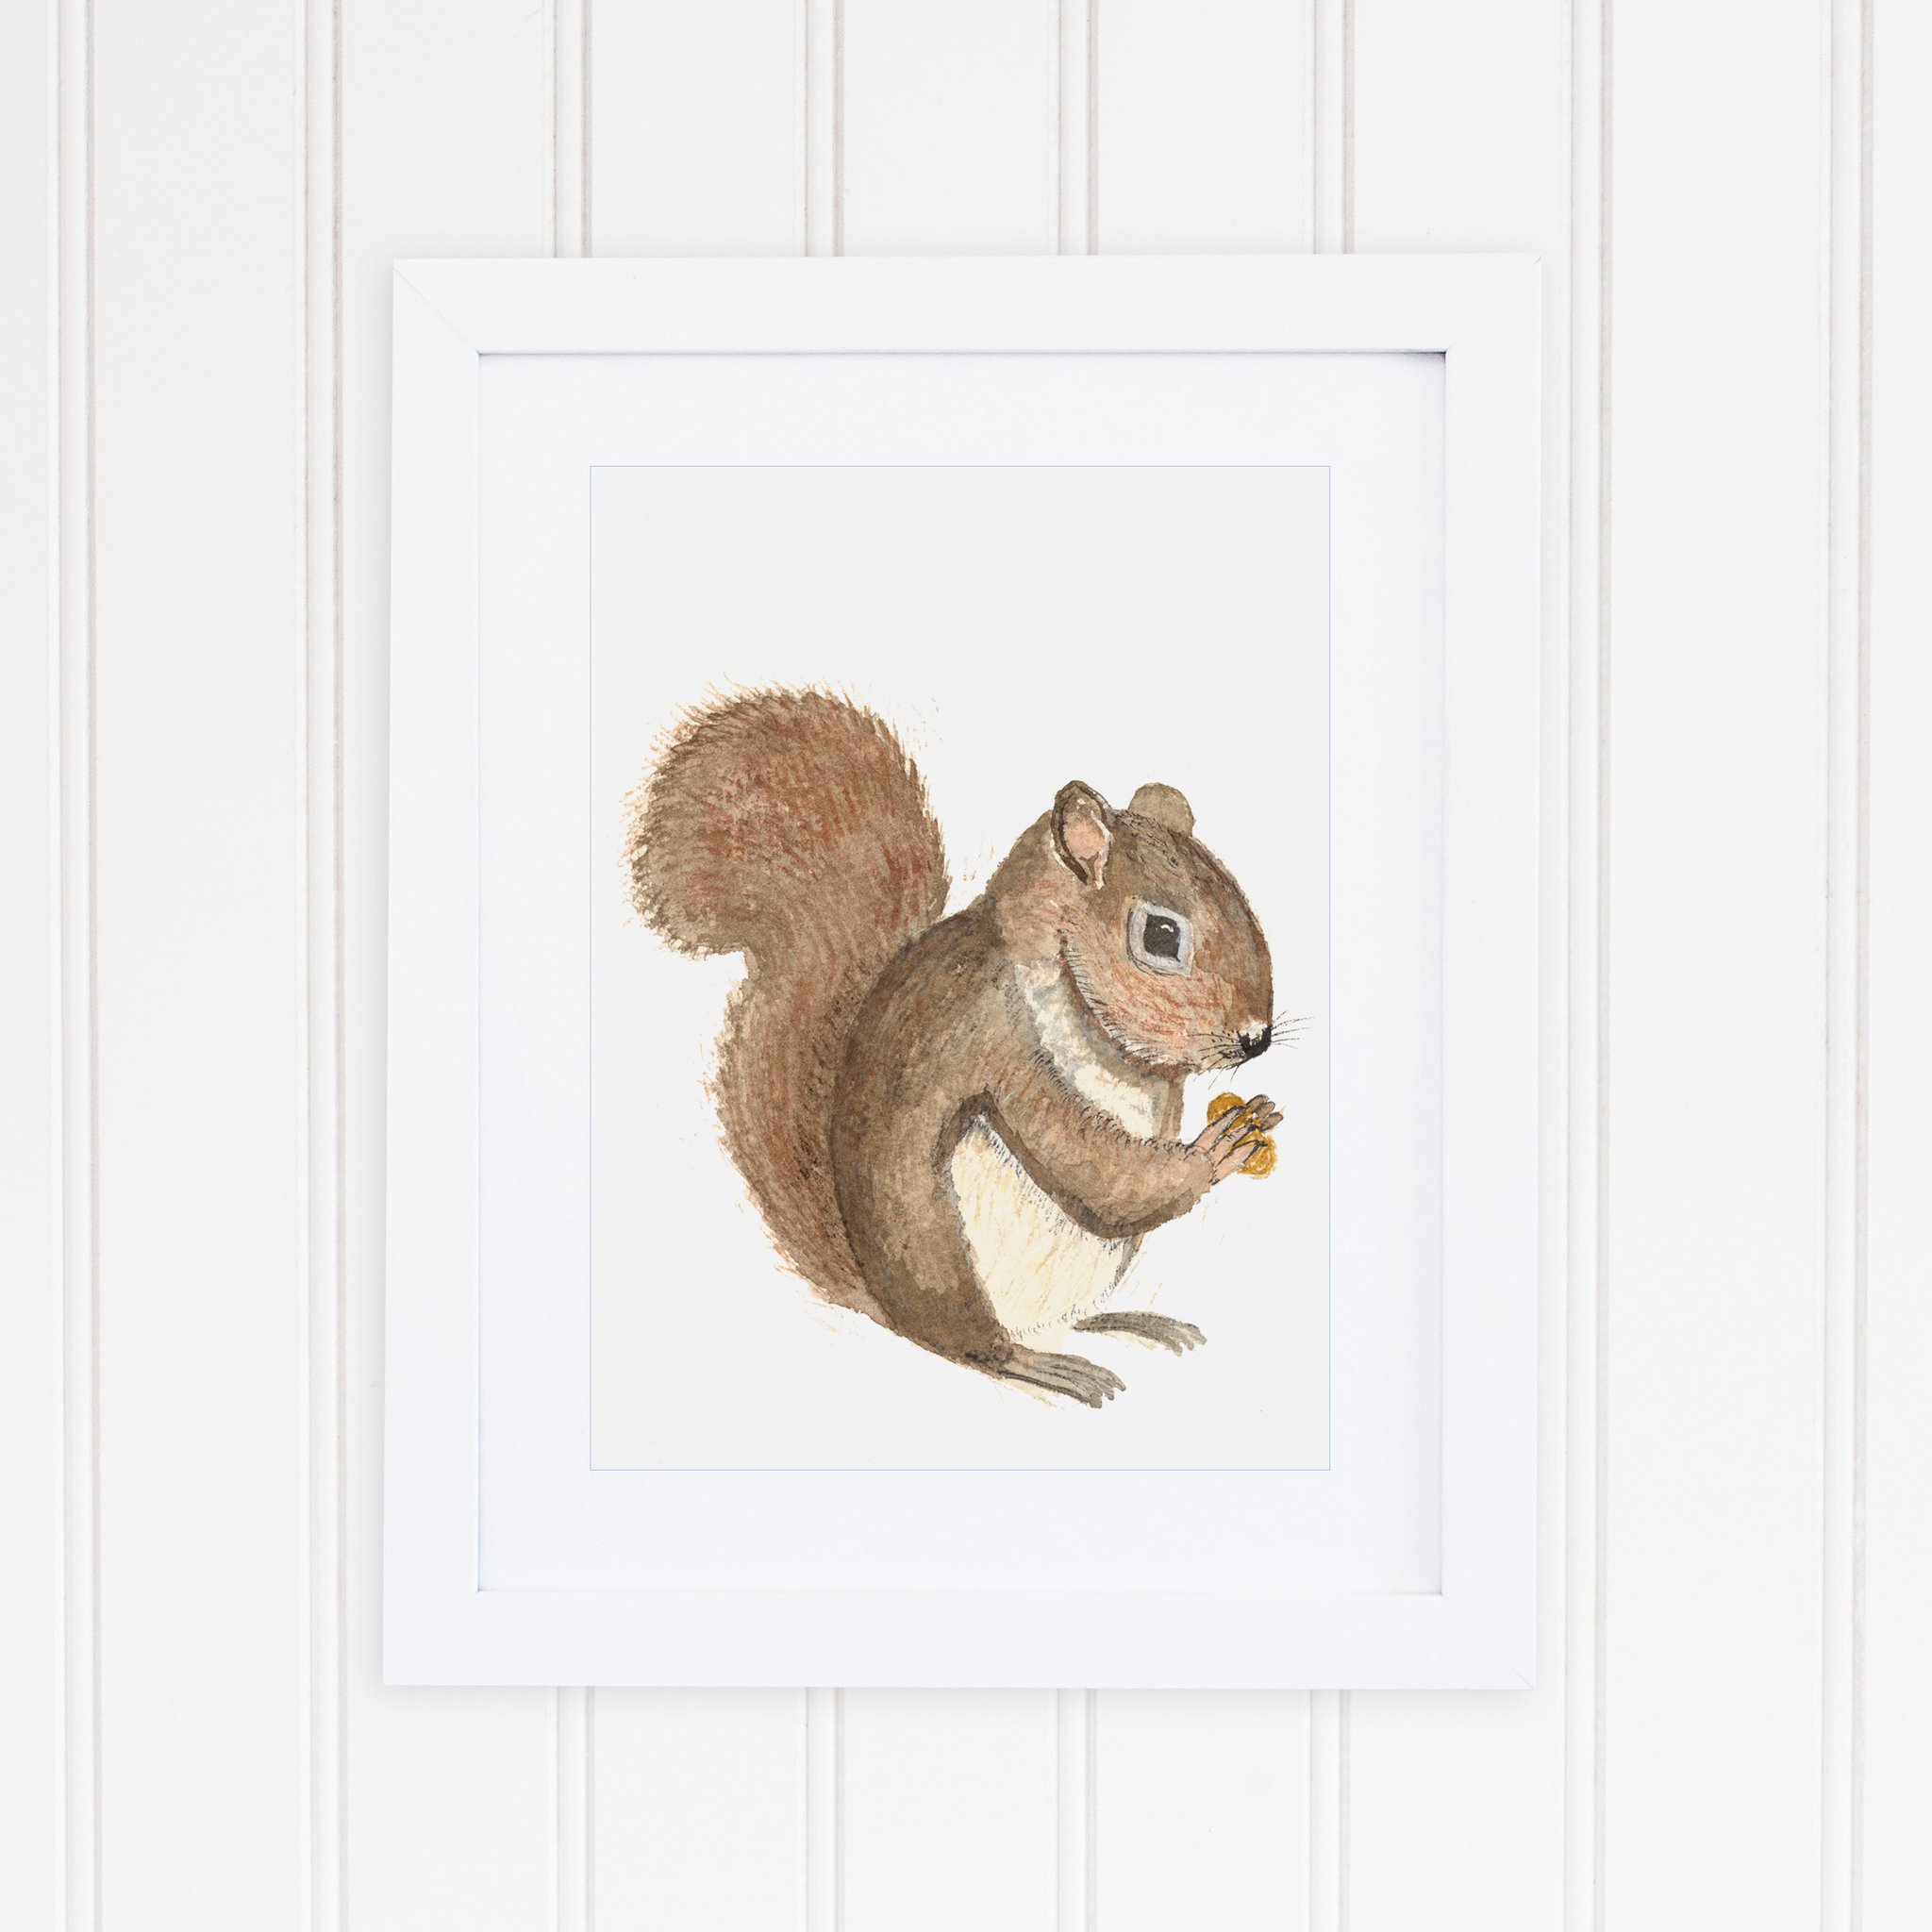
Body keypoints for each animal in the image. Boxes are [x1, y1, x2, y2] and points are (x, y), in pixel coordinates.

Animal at [624, 688, 1280, 1408]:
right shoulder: (996, 1038)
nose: (1255, 1038)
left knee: (1071, 1317)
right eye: (1161, 936)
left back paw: (1131, 1321)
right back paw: (1040, 1363)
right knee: (975, 1345)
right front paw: (1215, 1152)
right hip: (936, 1248)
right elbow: (1093, 1172)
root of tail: (885, 1304)